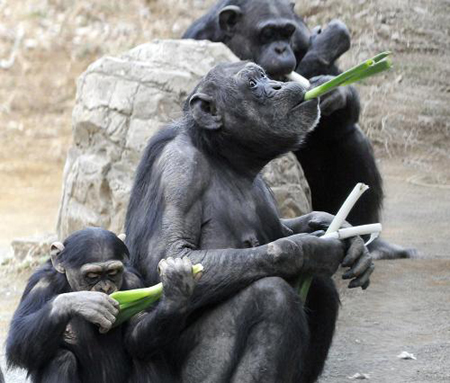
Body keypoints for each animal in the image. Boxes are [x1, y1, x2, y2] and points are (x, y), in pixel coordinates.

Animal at [6, 228, 200, 383]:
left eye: (113, 272)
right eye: (92, 275)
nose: (105, 287)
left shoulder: (135, 282)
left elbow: (136, 334)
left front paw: (177, 288)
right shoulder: (40, 285)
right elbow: (17, 343)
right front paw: (85, 302)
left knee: (147, 357)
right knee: (60, 359)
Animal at [125, 61, 374, 382]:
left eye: (265, 76)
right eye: (253, 84)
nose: (278, 85)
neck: (222, 156)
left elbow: (283, 229)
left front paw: (338, 229)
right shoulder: (179, 171)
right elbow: (173, 255)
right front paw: (313, 249)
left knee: (321, 288)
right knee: (269, 296)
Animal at [183, 0, 414, 260]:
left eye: (287, 32)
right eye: (267, 33)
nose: (281, 49)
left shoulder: (301, 36)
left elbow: (346, 109)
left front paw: (333, 88)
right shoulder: (199, 41)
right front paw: (327, 44)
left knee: (347, 136)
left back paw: (372, 243)